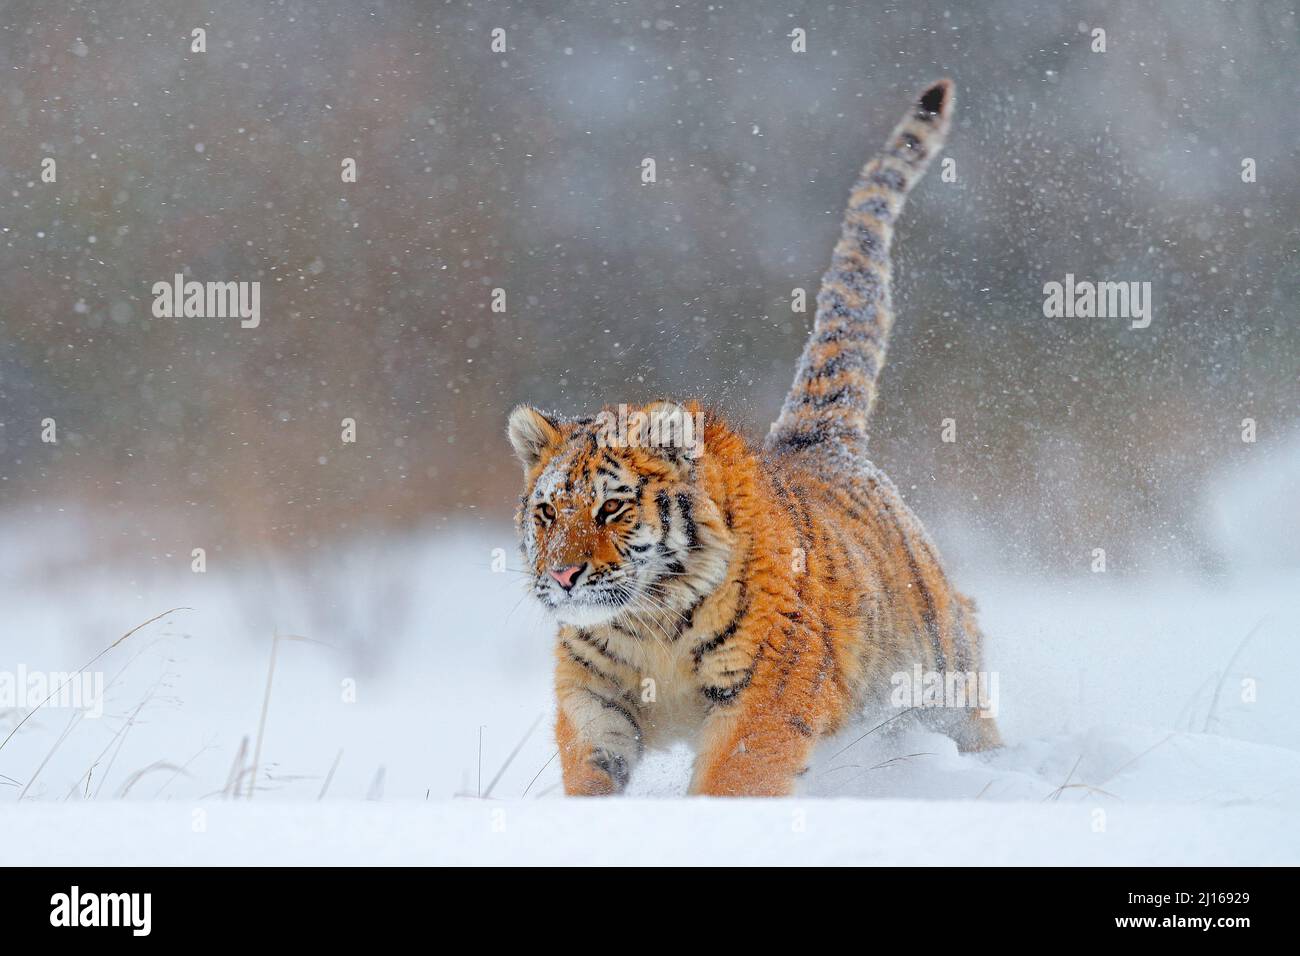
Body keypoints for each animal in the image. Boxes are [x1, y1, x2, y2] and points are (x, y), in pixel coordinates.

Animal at [508, 80, 1001, 797]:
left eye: (613, 508)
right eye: (547, 513)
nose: (563, 577)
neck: (650, 622)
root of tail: (823, 442)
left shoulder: (765, 698)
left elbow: (731, 782)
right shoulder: (596, 696)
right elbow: (593, 775)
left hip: (942, 681)